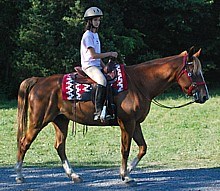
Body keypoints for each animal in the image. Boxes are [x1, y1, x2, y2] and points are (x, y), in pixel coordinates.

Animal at [15, 47, 208, 184]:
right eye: (193, 72)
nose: (205, 96)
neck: (139, 83)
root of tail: (39, 81)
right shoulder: (127, 123)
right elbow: (125, 149)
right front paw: (125, 175)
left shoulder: (135, 123)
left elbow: (143, 148)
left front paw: (127, 171)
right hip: (38, 121)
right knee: (24, 143)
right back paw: (19, 175)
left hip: (60, 121)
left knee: (59, 146)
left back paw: (73, 175)